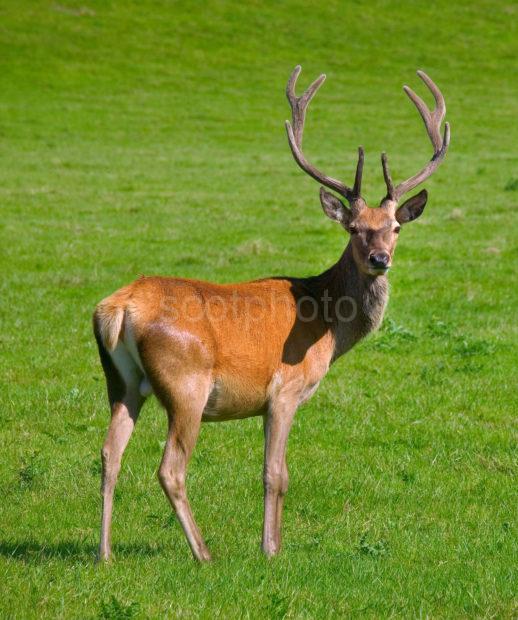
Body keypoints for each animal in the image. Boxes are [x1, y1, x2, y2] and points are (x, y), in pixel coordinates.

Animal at [93, 66, 450, 560]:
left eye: (395, 227)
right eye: (353, 228)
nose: (380, 259)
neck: (327, 324)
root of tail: (118, 307)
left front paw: (271, 544)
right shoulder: (285, 389)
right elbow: (276, 475)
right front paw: (271, 550)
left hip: (122, 382)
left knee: (109, 454)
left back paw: (105, 553)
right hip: (186, 384)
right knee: (170, 468)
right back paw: (203, 553)